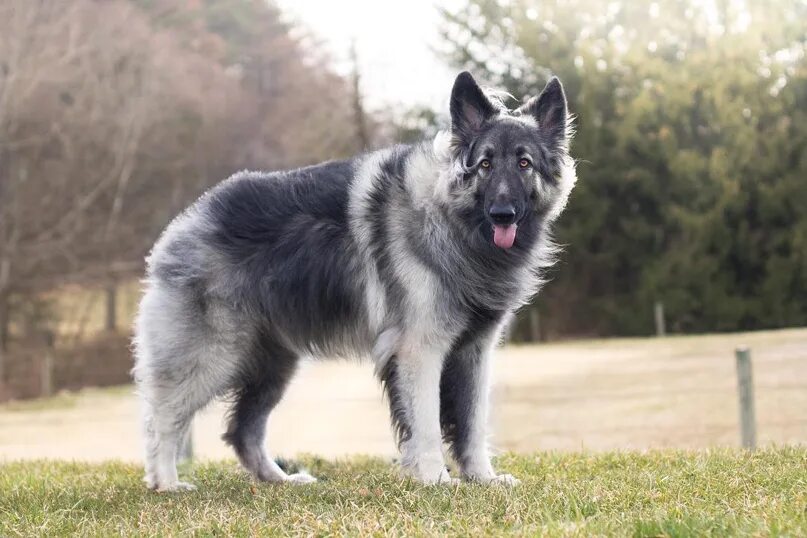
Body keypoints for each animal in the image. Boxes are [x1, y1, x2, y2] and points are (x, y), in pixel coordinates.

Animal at [134, 71, 576, 490]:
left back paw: (279, 480)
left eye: (524, 163)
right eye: (485, 164)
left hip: (274, 366)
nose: (503, 214)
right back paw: (166, 483)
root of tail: (188, 219)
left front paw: (482, 478)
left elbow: (473, 423)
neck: (452, 220)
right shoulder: (420, 351)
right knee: (162, 420)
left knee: (243, 431)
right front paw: (435, 479)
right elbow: (427, 424)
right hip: (212, 356)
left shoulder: (474, 353)